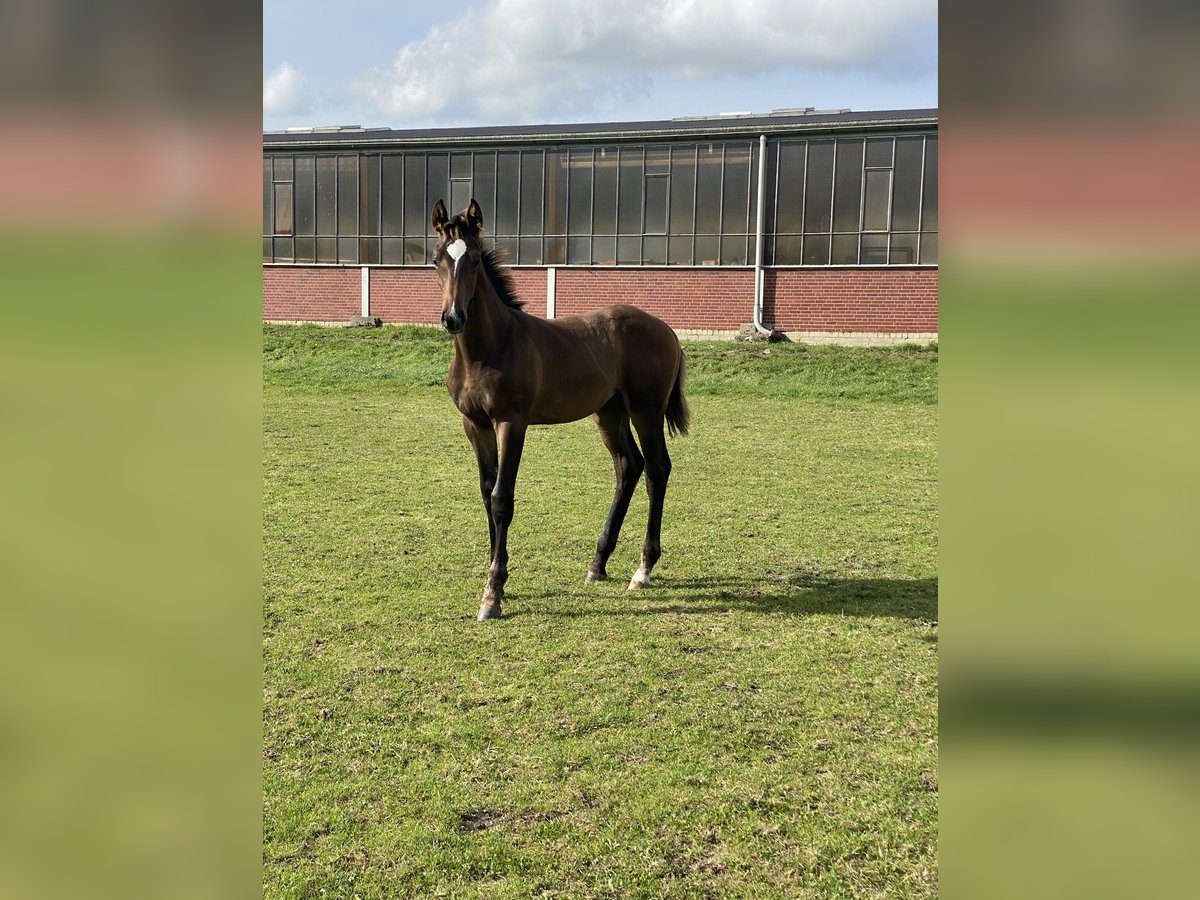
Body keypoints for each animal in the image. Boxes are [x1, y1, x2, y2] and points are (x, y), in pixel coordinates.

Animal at [436, 196, 691, 619]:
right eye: (438, 258)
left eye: (472, 259)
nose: (453, 318)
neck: (489, 348)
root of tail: (666, 329)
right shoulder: (474, 425)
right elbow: (486, 492)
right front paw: (496, 576)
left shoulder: (512, 423)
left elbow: (502, 499)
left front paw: (493, 593)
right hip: (610, 412)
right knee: (629, 466)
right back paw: (598, 563)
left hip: (646, 410)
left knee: (657, 469)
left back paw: (642, 570)